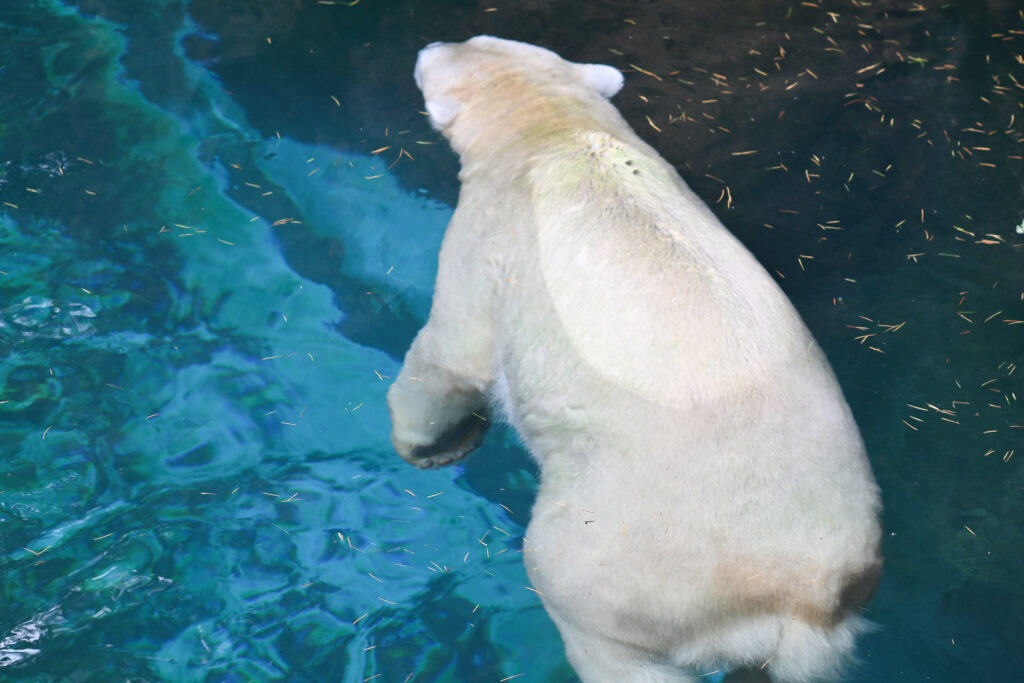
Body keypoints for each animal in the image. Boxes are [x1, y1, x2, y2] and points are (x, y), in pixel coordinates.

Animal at [388, 35, 883, 683]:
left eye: (462, 49)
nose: (429, 44)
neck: (555, 131)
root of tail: (804, 596)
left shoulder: (486, 243)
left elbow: (448, 357)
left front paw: (428, 446)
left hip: (622, 559)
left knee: (584, 608)